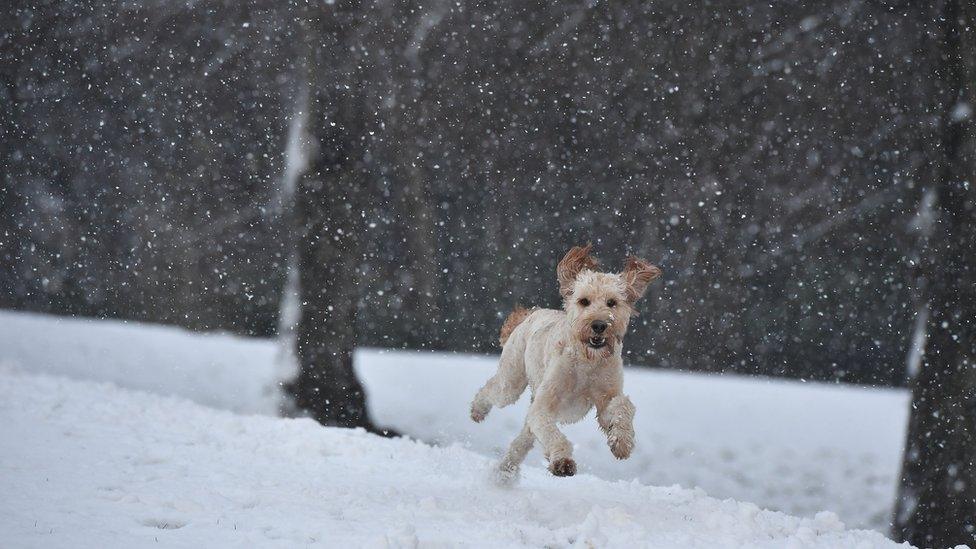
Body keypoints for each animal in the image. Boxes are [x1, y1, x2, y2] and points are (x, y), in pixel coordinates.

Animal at [468, 244, 660, 480]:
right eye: (584, 301)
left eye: (612, 302)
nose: (599, 325)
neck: (588, 362)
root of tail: (533, 312)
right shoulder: (544, 406)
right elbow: (552, 433)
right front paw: (562, 461)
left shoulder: (605, 398)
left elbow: (622, 406)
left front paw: (621, 442)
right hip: (512, 380)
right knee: (493, 390)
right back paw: (477, 411)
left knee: (522, 441)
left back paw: (505, 472)